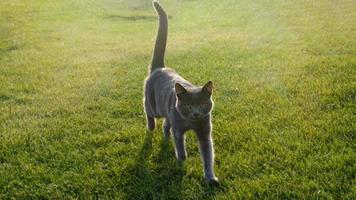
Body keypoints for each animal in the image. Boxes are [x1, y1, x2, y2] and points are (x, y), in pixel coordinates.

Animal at [143, 0, 218, 186]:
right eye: (189, 105)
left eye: (202, 104)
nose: (196, 113)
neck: (192, 123)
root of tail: (159, 68)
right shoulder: (178, 130)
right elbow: (180, 146)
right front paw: (182, 161)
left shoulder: (205, 132)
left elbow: (208, 156)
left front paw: (210, 178)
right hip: (154, 106)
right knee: (147, 110)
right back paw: (151, 126)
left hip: (167, 111)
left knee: (165, 124)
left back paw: (164, 134)